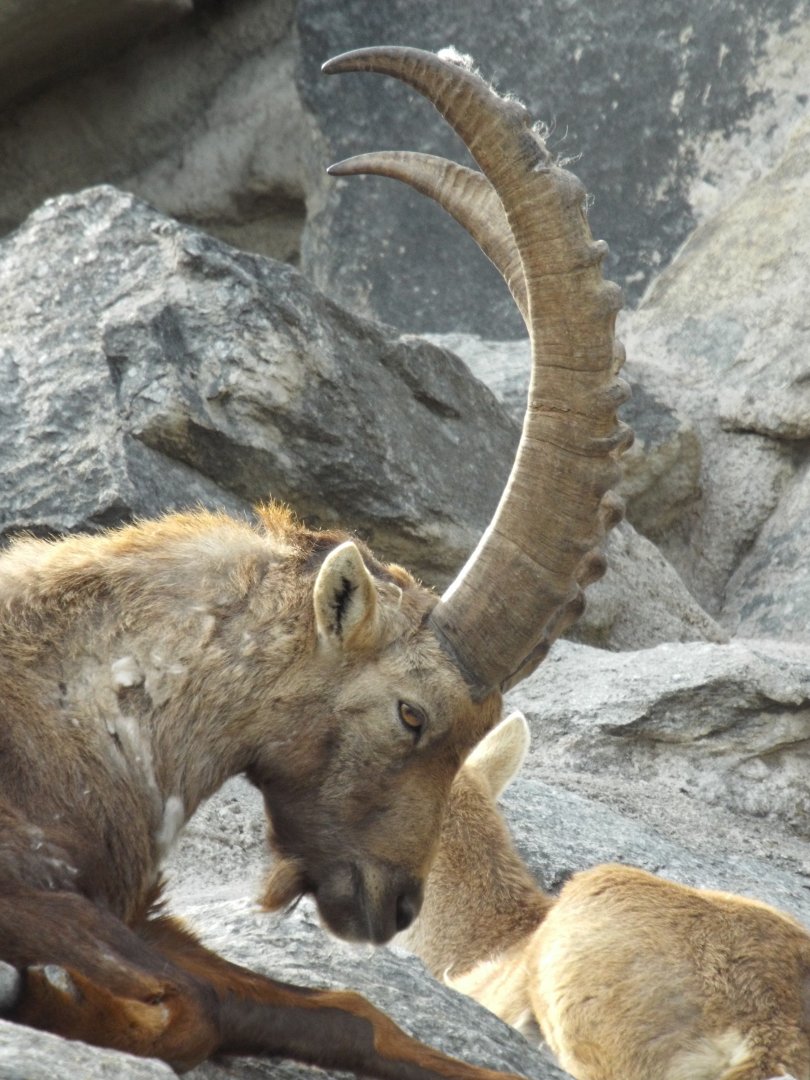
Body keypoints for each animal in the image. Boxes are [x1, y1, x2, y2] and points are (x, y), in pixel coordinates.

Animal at [0, 47, 630, 1075]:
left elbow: (343, 1010)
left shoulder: (140, 910)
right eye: (413, 714)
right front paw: (53, 991)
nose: (398, 903)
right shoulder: (45, 888)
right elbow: (169, 993)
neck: (82, 691)